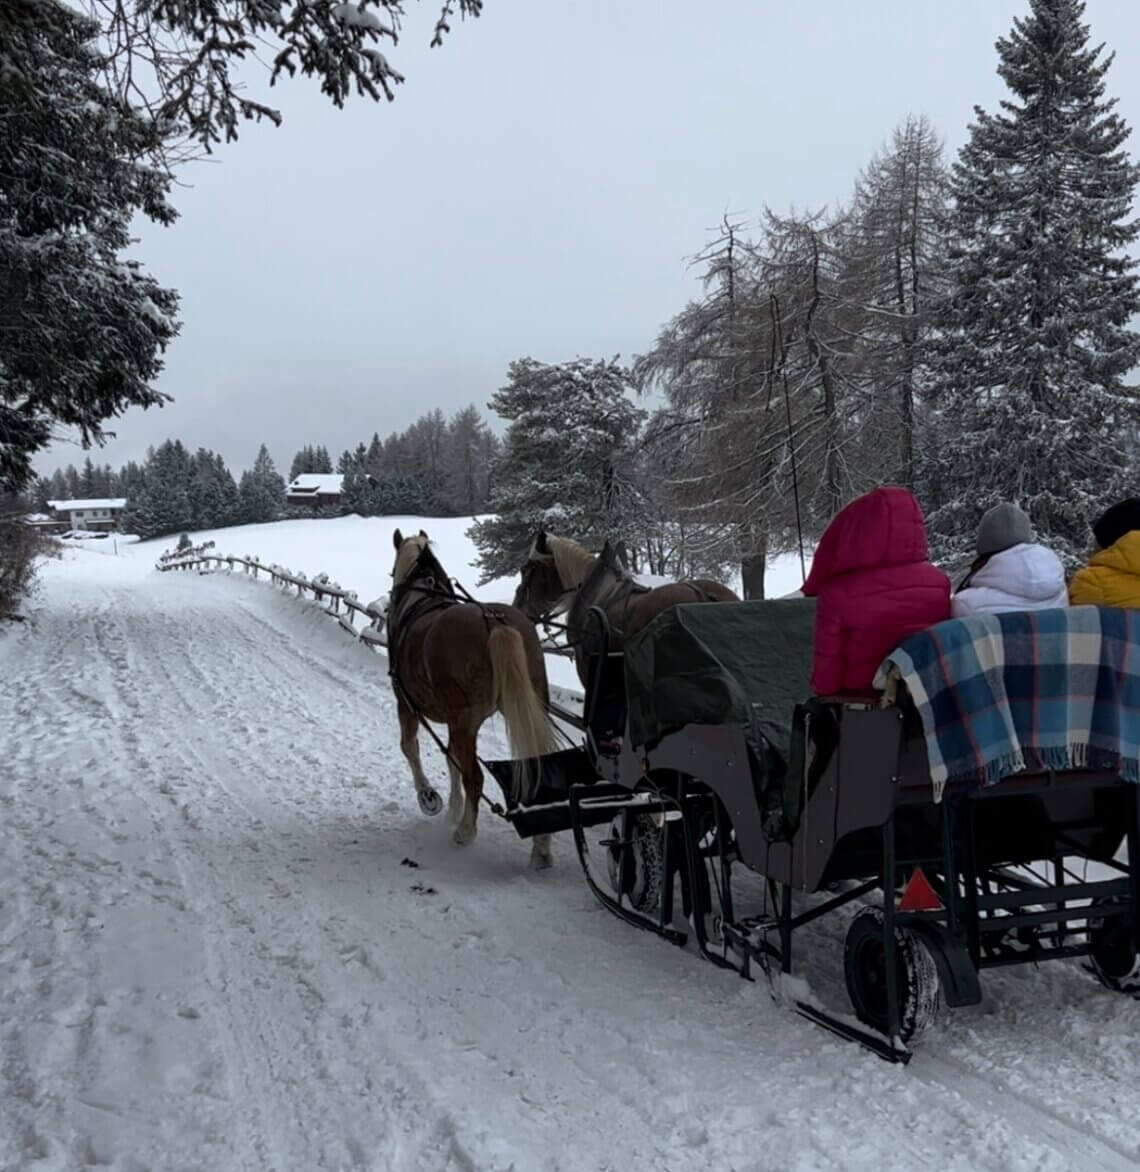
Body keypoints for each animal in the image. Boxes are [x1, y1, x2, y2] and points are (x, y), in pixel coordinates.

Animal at [384, 532, 557, 871]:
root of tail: (495, 622)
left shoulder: (407, 704)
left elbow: (410, 748)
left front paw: (430, 799)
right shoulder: (452, 719)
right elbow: (451, 758)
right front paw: (453, 807)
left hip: (466, 721)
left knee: (474, 776)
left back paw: (465, 833)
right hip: (530, 708)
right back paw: (541, 849)